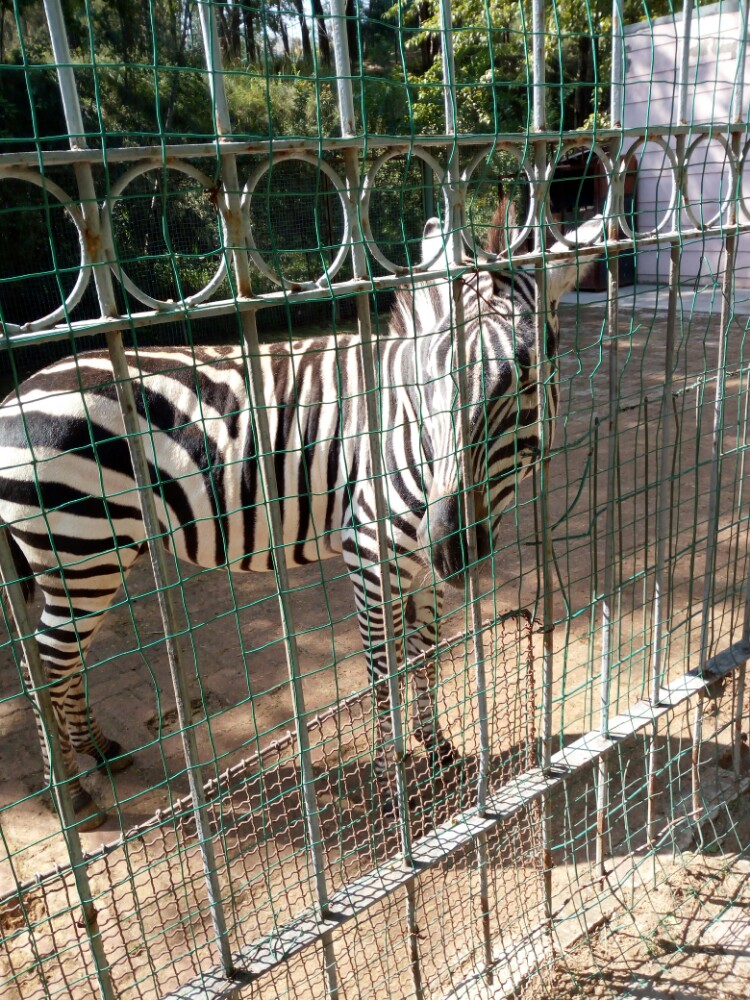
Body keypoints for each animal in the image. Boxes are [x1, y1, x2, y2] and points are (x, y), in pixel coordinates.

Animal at [0, 217, 600, 828]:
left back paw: (98, 752)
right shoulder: (371, 557)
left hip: (90, 555)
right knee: (47, 662)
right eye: (422, 383)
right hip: (81, 550)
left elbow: (426, 653)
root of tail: (18, 393)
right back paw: (70, 793)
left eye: (526, 382)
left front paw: (437, 748)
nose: (455, 552)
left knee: (54, 661)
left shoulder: (419, 565)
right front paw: (394, 785)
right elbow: (384, 673)